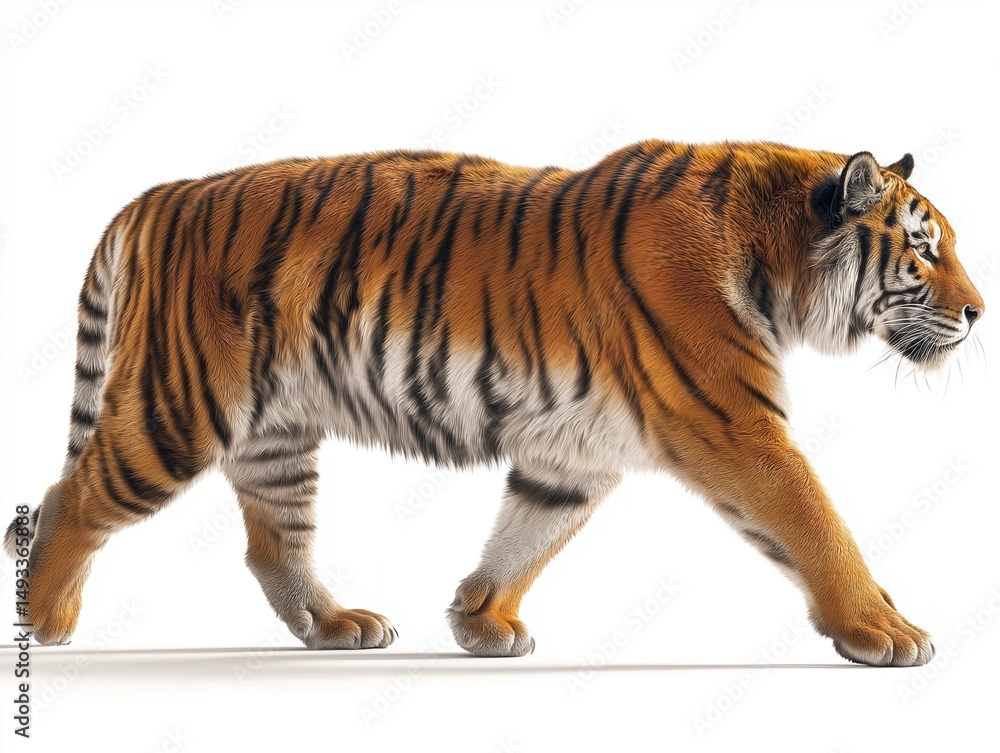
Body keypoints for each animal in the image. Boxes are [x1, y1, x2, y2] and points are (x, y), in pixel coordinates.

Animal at [3, 140, 984, 666]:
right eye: (924, 250)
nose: (980, 312)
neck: (781, 268)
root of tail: (157, 194)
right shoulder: (737, 426)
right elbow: (819, 524)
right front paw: (886, 629)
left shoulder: (576, 451)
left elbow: (530, 532)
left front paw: (481, 620)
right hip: (178, 408)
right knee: (70, 496)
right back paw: (42, 619)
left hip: (276, 431)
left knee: (271, 542)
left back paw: (336, 625)